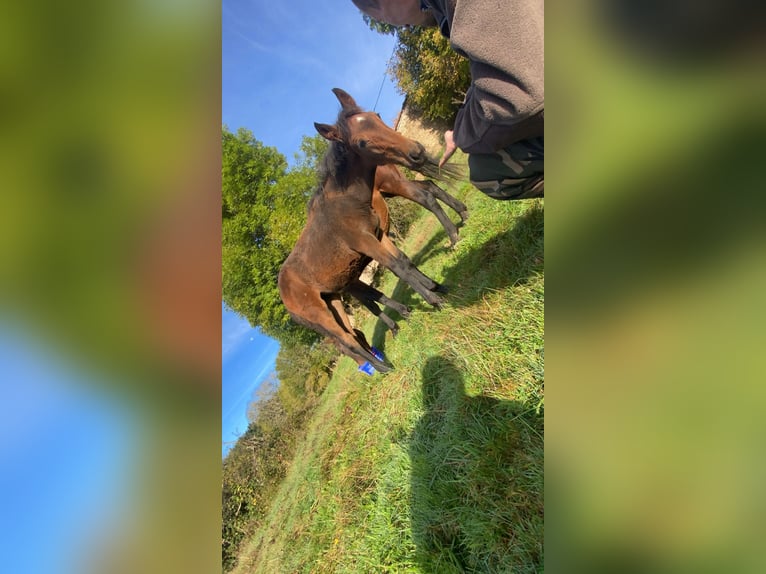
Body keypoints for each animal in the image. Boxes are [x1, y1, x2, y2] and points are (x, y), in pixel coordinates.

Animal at [280, 88, 452, 372]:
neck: (346, 202)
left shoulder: (378, 236)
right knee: (345, 342)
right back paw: (383, 368)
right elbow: (398, 268)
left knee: (352, 332)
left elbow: (403, 262)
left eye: (377, 116)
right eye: (361, 142)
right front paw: (435, 300)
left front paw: (436, 287)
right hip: (320, 316)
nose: (416, 151)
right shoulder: (364, 242)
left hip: (334, 301)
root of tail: (283, 293)